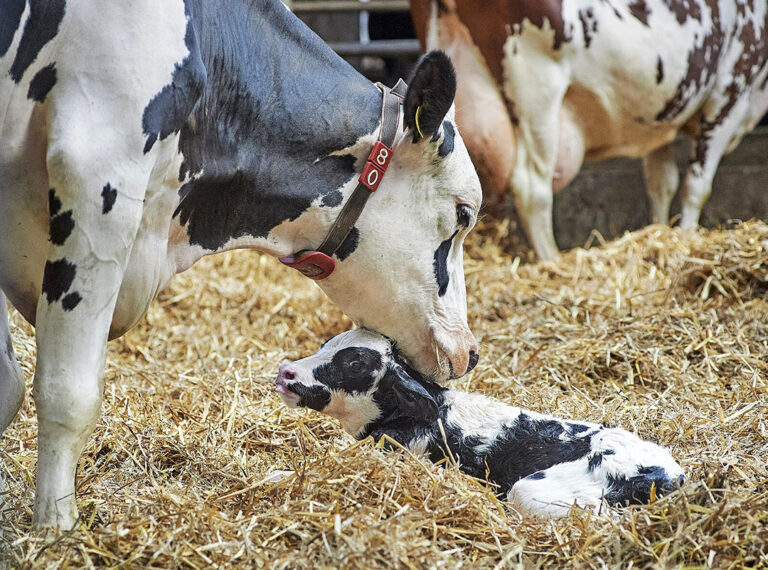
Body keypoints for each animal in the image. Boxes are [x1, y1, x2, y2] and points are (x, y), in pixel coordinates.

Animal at [0, 0, 480, 524]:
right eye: (464, 214)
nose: (470, 352)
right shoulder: (97, 172)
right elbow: (68, 393)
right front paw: (56, 527)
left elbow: (9, 387)